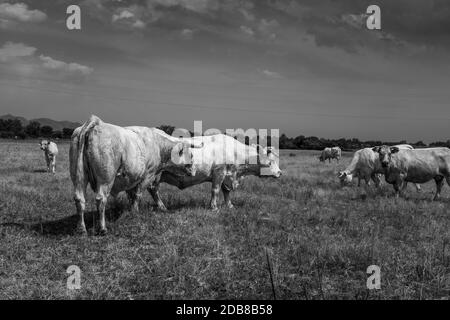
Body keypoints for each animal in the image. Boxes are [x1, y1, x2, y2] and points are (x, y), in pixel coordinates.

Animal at [69, 115, 203, 235]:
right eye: (190, 155)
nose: (194, 170)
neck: (158, 145)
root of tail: (96, 123)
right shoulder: (148, 175)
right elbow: (137, 195)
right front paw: (135, 212)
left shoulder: (131, 179)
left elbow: (131, 196)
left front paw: (130, 211)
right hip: (105, 179)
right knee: (101, 199)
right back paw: (102, 228)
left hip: (78, 176)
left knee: (79, 199)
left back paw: (81, 229)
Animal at [149, 134, 282, 211]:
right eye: (270, 162)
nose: (280, 173)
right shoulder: (219, 172)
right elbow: (215, 190)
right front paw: (214, 207)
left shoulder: (227, 175)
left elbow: (226, 192)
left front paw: (230, 206)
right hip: (156, 175)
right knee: (153, 190)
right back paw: (162, 207)